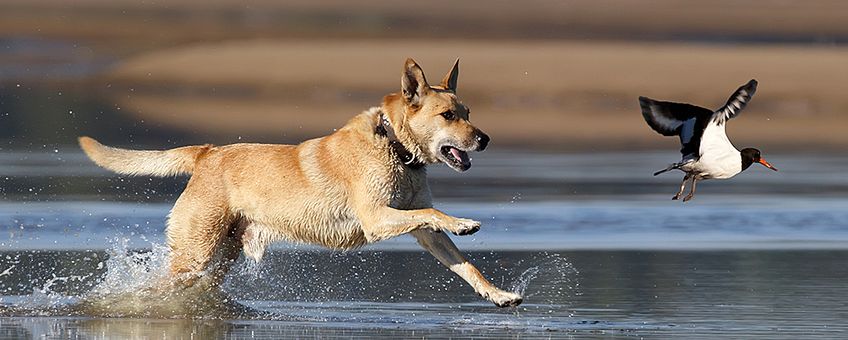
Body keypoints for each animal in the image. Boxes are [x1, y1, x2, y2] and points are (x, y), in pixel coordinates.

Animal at [83, 58, 528, 308]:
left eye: (467, 111)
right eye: (448, 115)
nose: (485, 139)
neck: (394, 146)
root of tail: (207, 154)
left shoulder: (420, 230)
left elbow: (463, 262)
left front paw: (497, 294)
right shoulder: (376, 218)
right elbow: (435, 212)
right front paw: (464, 222)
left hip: (221, 256)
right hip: (195, 252)